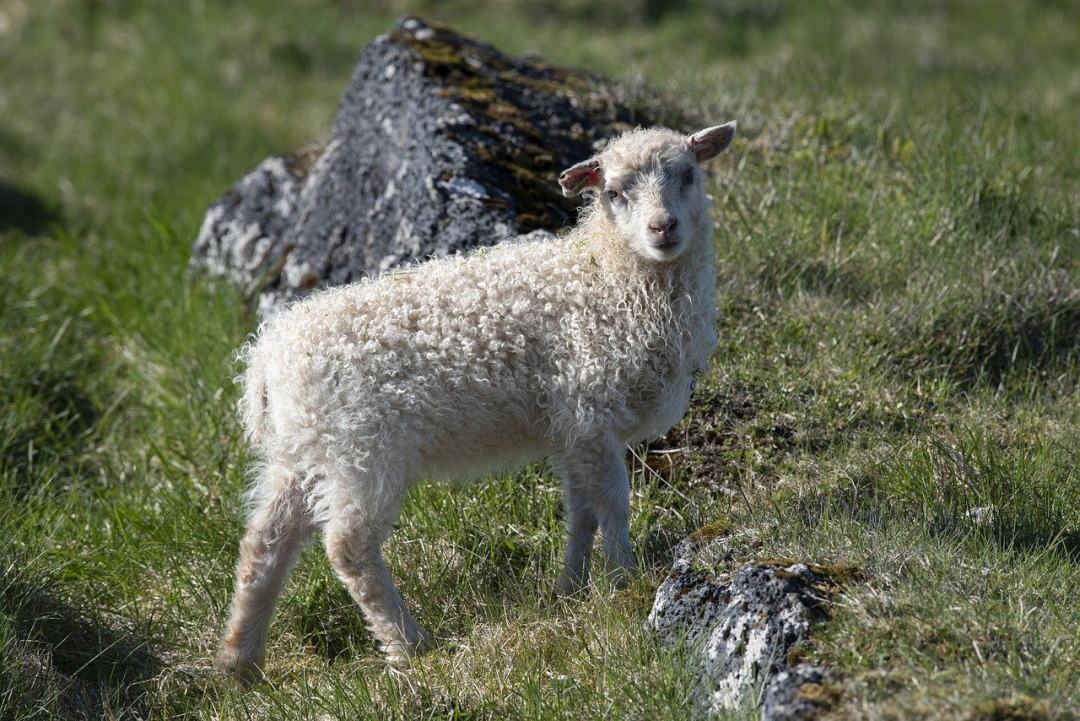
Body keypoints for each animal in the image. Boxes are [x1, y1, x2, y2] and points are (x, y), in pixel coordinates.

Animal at [217, 120, 743, 677]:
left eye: (688, 175)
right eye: (614, 193)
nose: (663, 228)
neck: (606, 276)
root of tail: (266, 360)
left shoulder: (571, 428)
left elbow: (580, 511)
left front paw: (571, 590)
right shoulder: (591, 409)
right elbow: (612, 505)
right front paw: (627, 579)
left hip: (303, 451)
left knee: (264, 542)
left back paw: (241, 661)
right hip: (360, 449)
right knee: (348, 547)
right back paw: (408, 644)